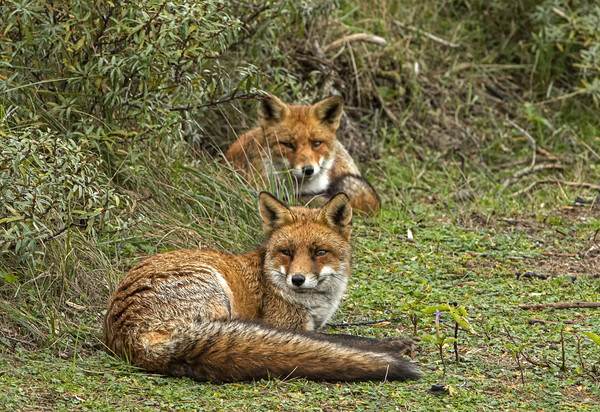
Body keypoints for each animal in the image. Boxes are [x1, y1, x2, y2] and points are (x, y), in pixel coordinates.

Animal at [103, 193, 420, 384]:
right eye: (286, 252)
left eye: (319, 252)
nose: (297, 280)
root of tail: (128, 335)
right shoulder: (287, 324)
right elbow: (346, 338)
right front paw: (391, 345)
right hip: (216, 294)